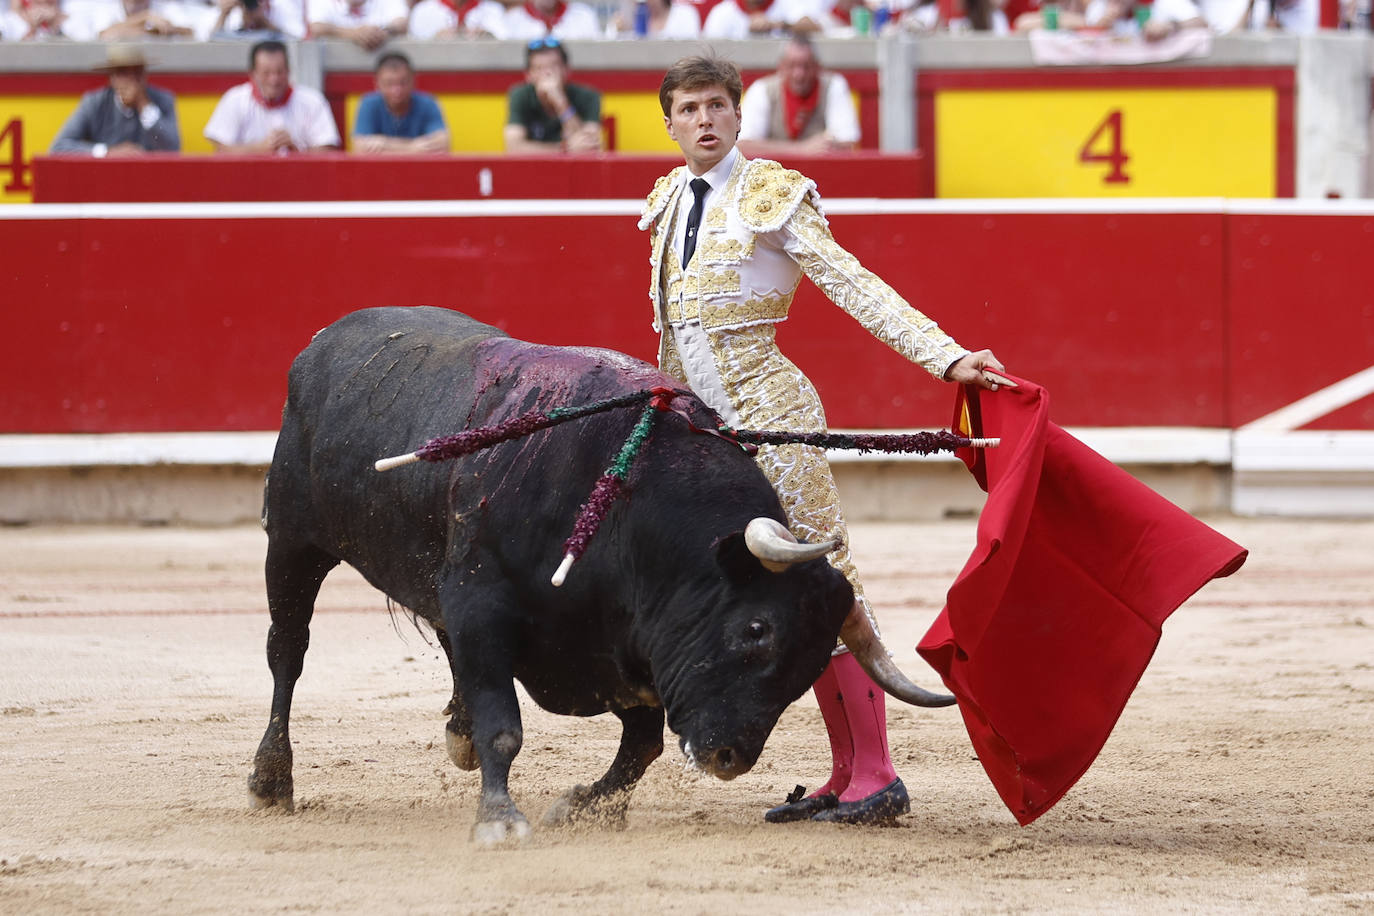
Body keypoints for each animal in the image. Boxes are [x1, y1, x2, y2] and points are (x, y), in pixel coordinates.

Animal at [251, 306, 862, 840]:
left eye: (813, 665)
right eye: (757, 629)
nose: (729, 757)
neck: (625, 505)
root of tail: (323, 341)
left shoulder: (628, 648)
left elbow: (642, 745)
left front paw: (583, 808)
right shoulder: (481, 601)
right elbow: (503, 727)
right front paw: (500, 820)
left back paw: (457, 734)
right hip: (291, 542)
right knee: (287, 652)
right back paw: (269, 780)